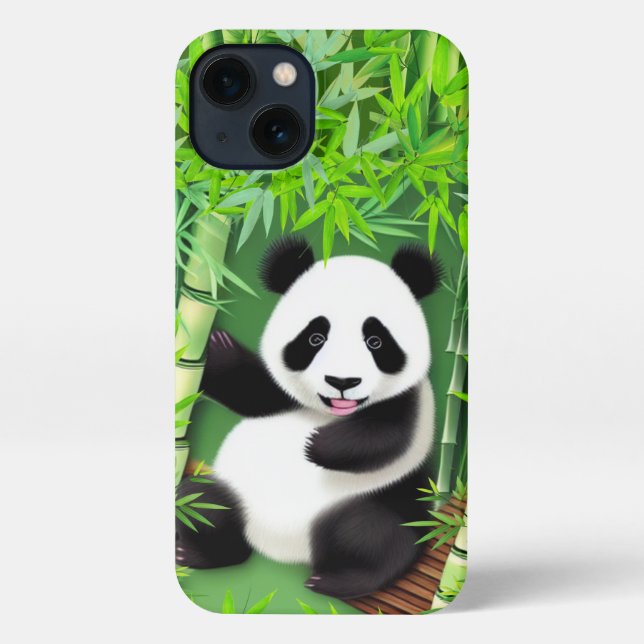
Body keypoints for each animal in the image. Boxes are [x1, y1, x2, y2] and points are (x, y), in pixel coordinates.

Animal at [176, 236, 442, 599]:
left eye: (375, 341)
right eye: (316, 337)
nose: (343, 382)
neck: (328, 412)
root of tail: (278, 548)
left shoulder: (412, 402)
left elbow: (389, 436)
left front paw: (317, 446)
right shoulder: (278, 392)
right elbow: (251, 391)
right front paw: (216, 345)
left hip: (375, 499)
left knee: (373, 536)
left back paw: (337, 580)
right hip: (233, 491)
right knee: (199, 505)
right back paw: (200, 551)